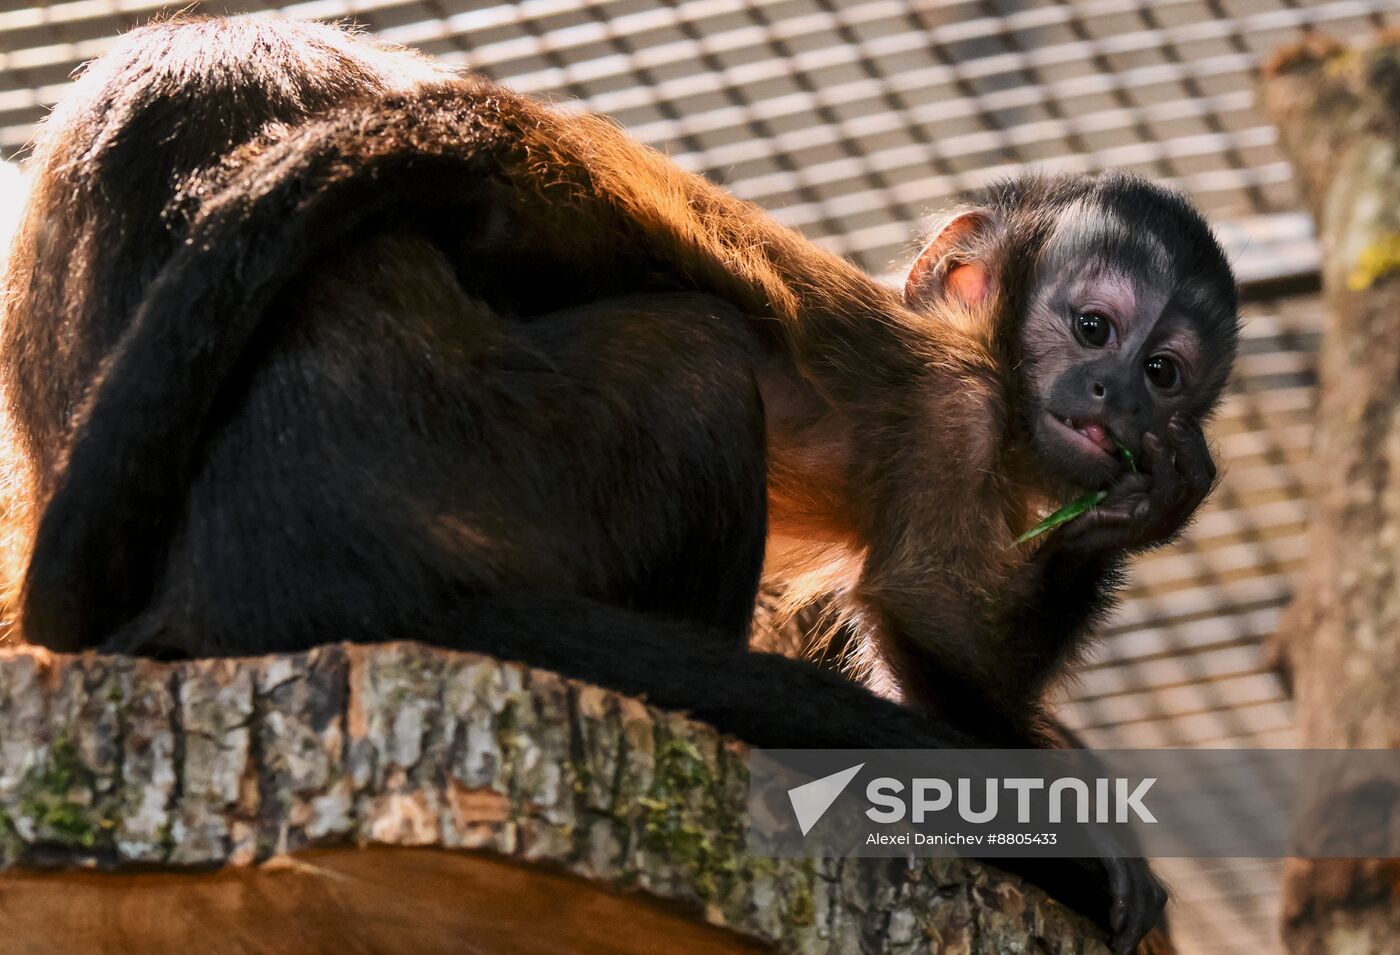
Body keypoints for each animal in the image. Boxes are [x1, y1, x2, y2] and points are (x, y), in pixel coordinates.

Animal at [2, 14, 1237, 946]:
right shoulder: (958, 420)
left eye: (1164, 371)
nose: (1116, 398)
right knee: (696, 357)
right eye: (1093, 327)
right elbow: (928, 619)